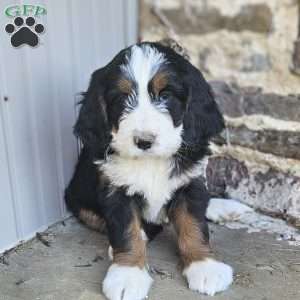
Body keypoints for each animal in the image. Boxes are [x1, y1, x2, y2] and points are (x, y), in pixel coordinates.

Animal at [65, 41, 233, 300]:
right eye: (123, 98)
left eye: (165, 95)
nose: (144, 141)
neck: (151, 161)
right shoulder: (115, 190)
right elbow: (126, 232)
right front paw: (128, 274)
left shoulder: (190, 183)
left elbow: (194, 225)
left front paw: (204, 266)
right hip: (77, 198)